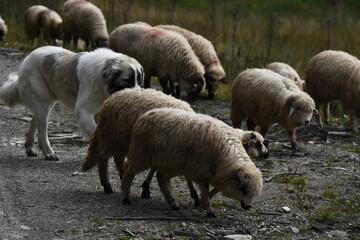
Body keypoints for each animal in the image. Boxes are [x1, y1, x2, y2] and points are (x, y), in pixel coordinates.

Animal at [0, 46, 143, 160]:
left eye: (140, 80)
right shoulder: (83, 111)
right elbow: (94, 131)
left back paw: (30, 147)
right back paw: (48, 153)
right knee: (42, 130)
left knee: (34, 121)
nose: (139, 95)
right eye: (128, 80)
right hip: (43, 103)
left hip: (45, 103)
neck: (103, 80)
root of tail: (28, 57)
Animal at [121, 109, 264, 218]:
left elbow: (214, 189)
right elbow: (205, 191)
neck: (226, 153)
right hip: (141, 152)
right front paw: (209, 210)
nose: (248, 206)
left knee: (162, 178)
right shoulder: (201, 172)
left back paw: (172, 202)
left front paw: (202, 203)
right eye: (243, 188)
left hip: (170, 162)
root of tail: (146, 114)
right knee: (129, 171)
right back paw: (125, 197)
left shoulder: (217, 174)